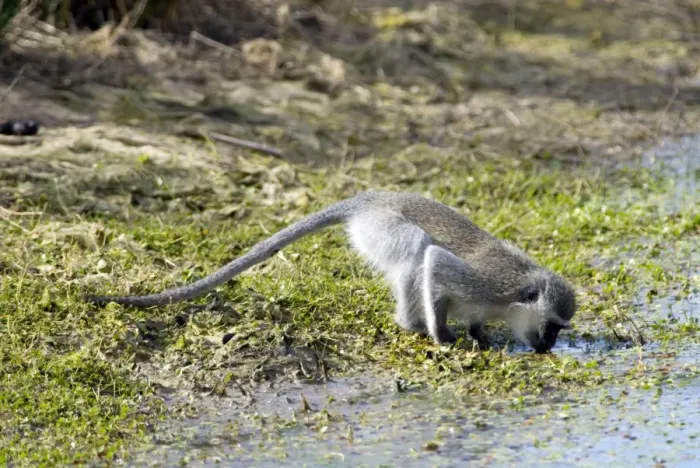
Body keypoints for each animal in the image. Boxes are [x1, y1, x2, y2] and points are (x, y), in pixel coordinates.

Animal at [84, 191, 576, 353]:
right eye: (553, 325)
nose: (550, 345)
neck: (513, 299)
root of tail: (371, 200)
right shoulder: (490, 284)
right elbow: (437, 261)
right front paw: (443, 337)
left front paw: (478, 335)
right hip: (382, 228)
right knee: (417, 250)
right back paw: (414, 325)